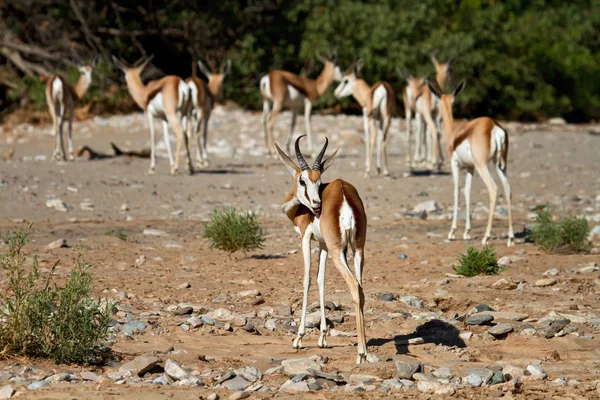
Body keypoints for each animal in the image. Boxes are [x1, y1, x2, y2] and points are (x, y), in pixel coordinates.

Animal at [276, 135, 370, 366]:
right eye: (303, 180)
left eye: (319, 182)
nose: (317, 205)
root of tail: (344, 194)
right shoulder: (323, 244)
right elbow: (321, 280)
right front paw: (323, 338)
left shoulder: (305, 238)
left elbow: (308, 280)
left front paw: (298, 339)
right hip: (357, 250)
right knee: (361, 289)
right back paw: (365, 352)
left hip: (339, 252)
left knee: (354, 286)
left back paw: (361, 353)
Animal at [424, 77, 512, 245]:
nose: (435, 115)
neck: (454, 132)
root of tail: (494, 126)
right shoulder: (470, 168)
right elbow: (468, 191)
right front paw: (466, 232)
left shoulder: (455, 164)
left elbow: (457, 190)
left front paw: (452, 232)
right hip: (499, 165)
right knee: (508, 189)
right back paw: (510, 238)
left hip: (483, 165)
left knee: (493, 188)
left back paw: (486, 237)